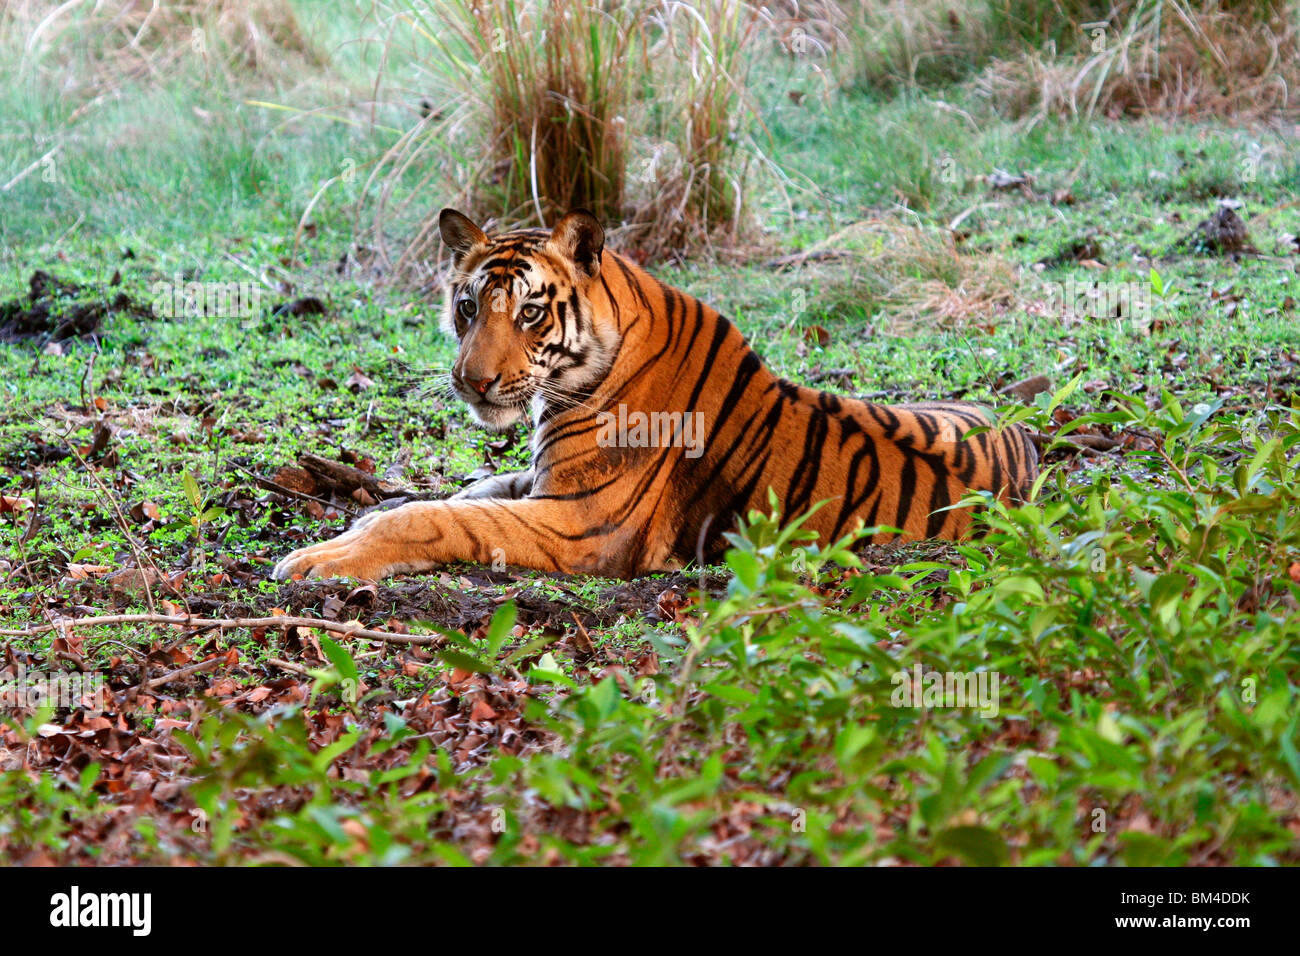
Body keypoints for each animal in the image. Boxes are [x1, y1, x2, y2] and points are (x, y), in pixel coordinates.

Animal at [271, 209, 1034, 582]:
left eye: (530, 313)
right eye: (467, 305)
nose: (472, 381)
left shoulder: (582, 521)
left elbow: (439, 518)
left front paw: (319, 558)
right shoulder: (544, 481)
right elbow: (467, 492)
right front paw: (370, 511)